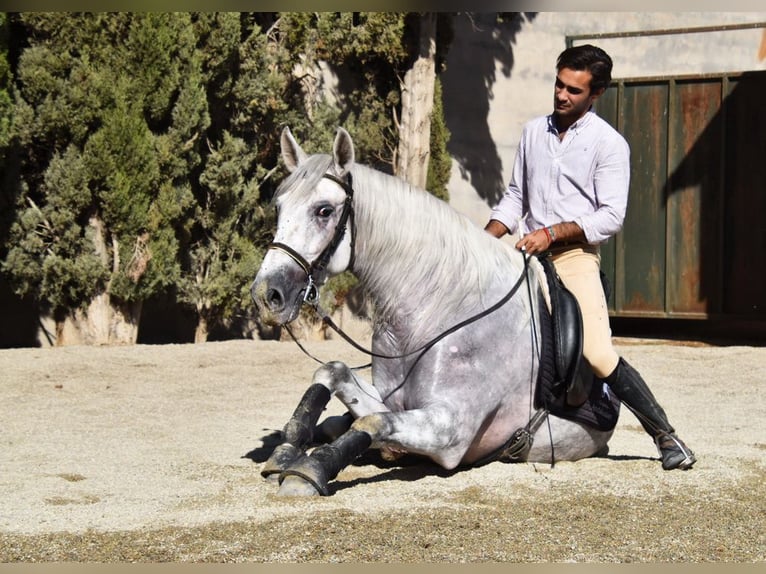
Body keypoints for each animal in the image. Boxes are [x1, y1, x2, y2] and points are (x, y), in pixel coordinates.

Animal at [250, 127, 619, 496]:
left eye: (324, 210)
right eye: (279, 207)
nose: (267, 295)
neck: (437, 310)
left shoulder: (450, 431)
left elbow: (373, 421)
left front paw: (310, 469)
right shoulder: (392, 401)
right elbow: (331, 373)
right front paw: (286, 452)